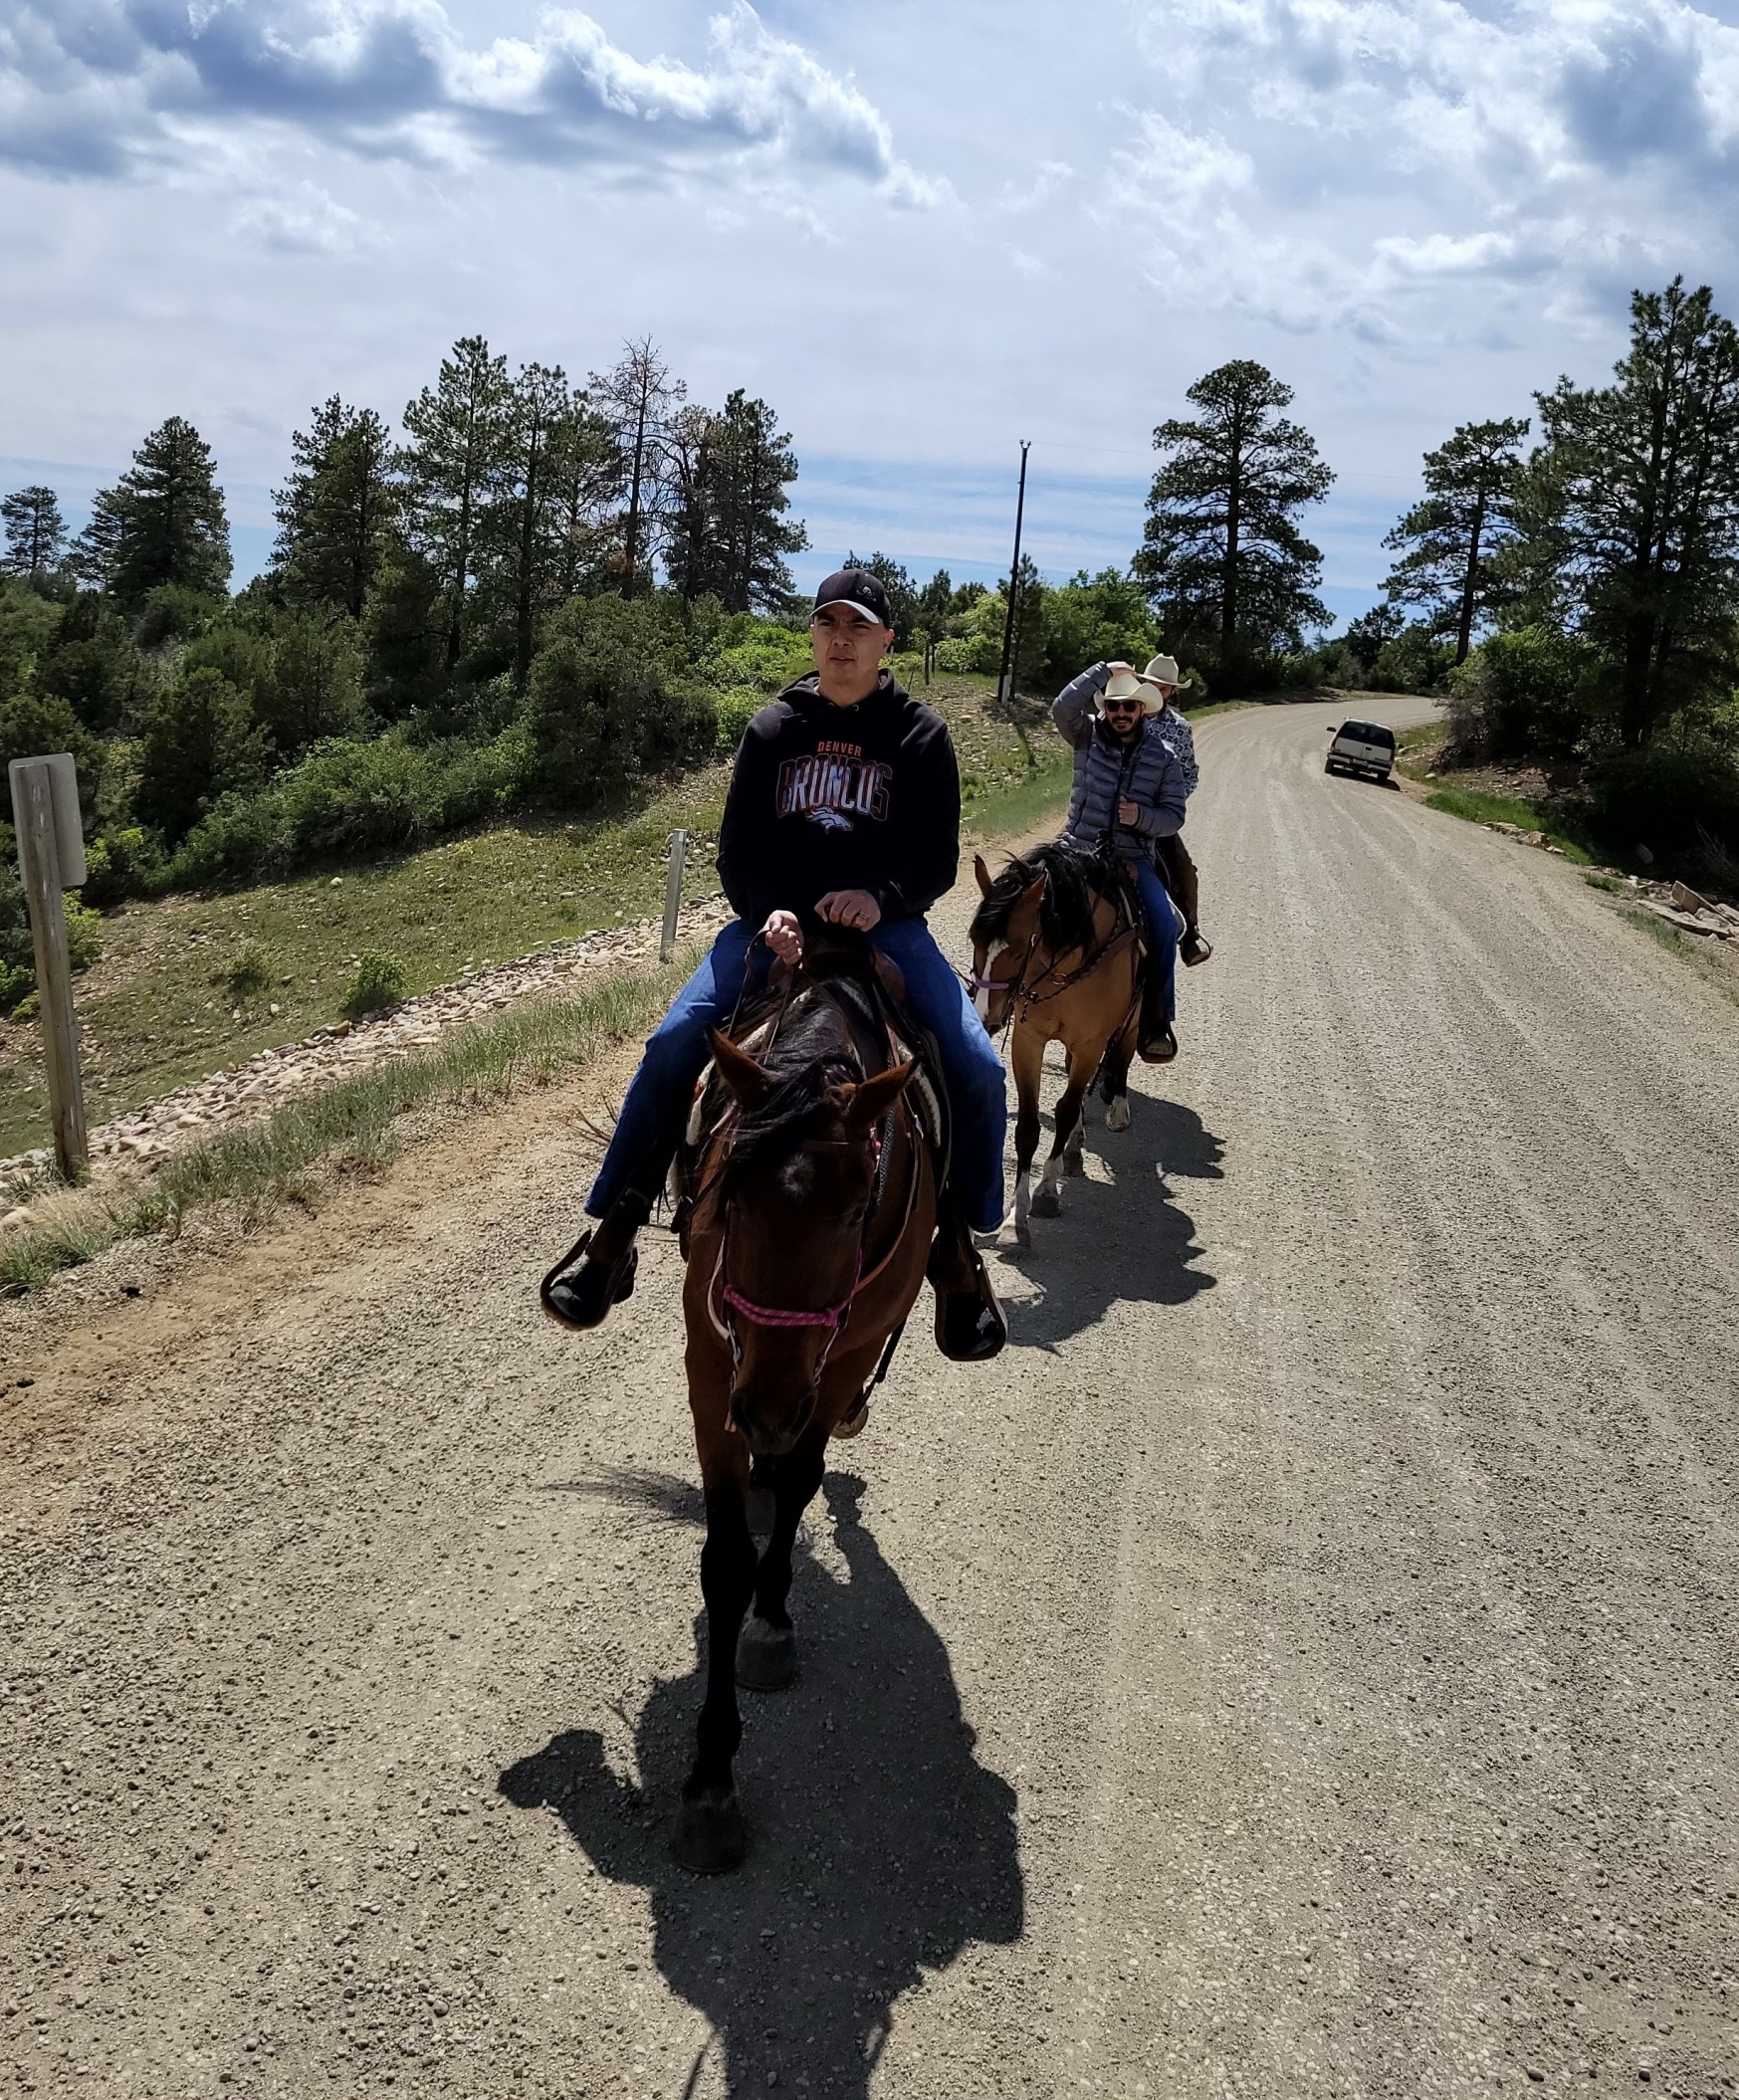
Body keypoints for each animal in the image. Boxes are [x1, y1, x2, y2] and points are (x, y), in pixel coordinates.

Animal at [663, 952, 937, 1873]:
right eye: (733, 1202)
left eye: (856, 1211)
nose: (770, 1410)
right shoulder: (711, 1366)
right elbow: (724, 1563)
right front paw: (711, 1782)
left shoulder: (845, 1353)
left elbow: (800, 1486)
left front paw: (773, 1624)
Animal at [966, 844, 1142, 1243]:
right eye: (975, 942)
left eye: (1018, 952)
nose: (984, 1015)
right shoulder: (1028, 1041)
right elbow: (1029, 1126)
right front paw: (1016, 1217)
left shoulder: (1091, 1045)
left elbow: (1064, 1109)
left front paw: (1046, 1191)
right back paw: (1074, 1150)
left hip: (1132, 1020)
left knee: (1121, 1057)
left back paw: (1118, 1110)